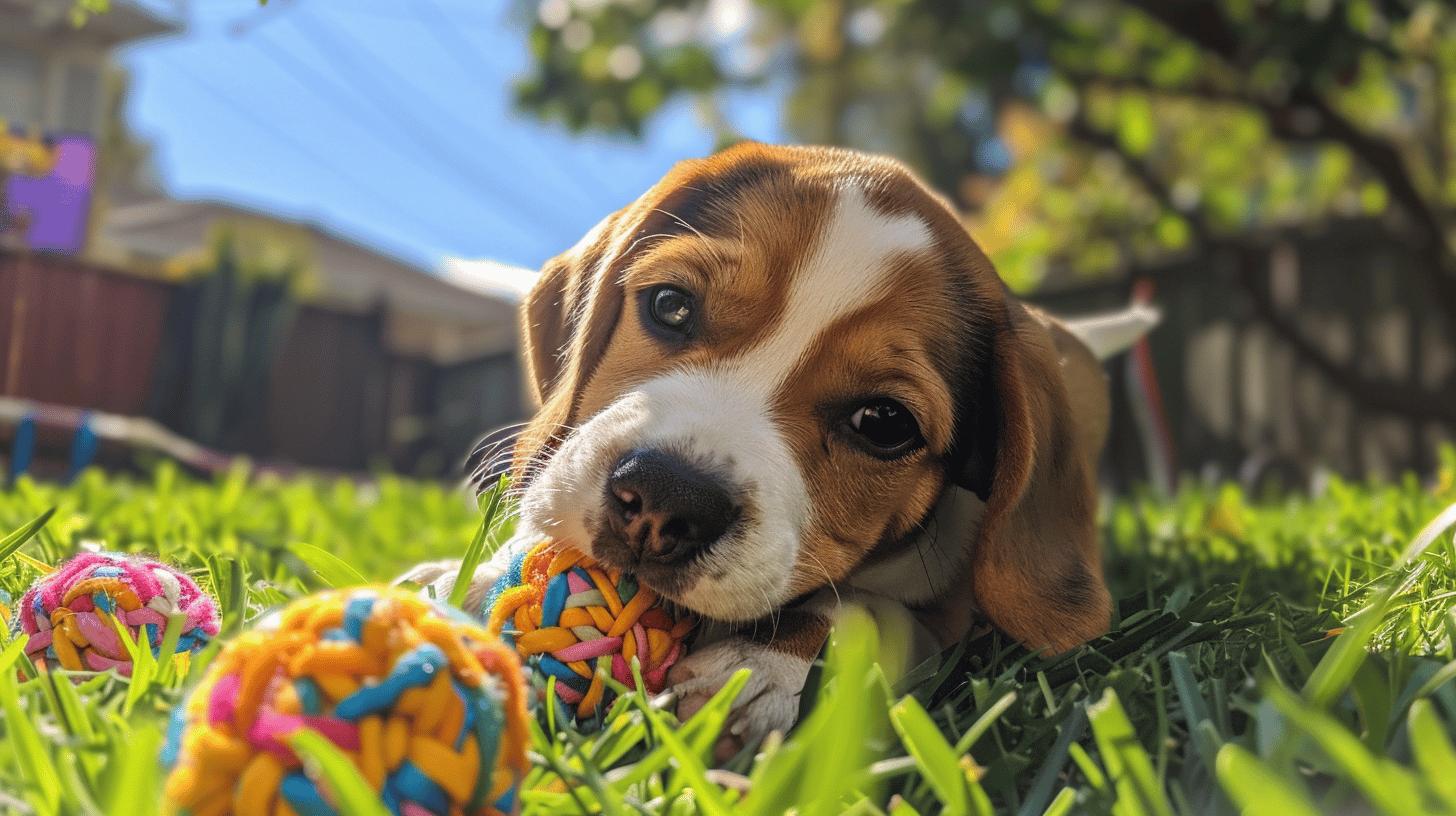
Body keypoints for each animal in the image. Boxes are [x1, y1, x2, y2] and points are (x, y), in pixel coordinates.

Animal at [404, 142, 1129, 757]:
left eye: (883, 422)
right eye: (670, 305)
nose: (662, 500)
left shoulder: (953, 623)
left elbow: (855, 607)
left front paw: (756, 667)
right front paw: (465, 583)